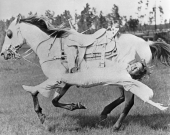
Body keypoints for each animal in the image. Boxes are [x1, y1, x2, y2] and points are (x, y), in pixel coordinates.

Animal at [1, 15, 170, 131]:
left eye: (9, 33)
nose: (4, 54)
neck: (52, 48)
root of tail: (147, 42)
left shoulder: (56, 79)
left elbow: (35, 92)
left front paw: (43, 119)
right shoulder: (65, 82)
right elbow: (55, 100)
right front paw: (76, 105)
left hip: (128, 78)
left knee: (129, 102)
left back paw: (115, 126)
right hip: (123, 78)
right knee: (123, 98)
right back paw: (104, 113)